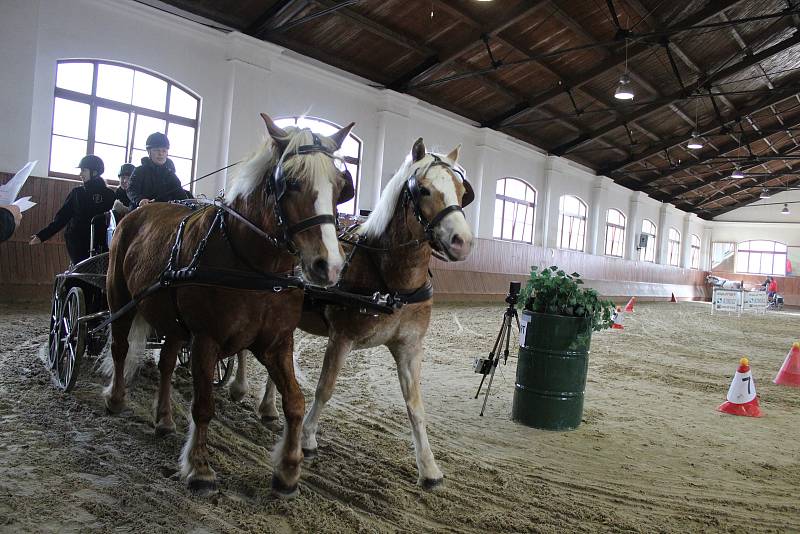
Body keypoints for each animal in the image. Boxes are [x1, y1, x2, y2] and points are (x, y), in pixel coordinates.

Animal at [102, 113, 354, 498]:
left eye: (340, 186)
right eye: (292, 182)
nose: (330, 266)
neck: (255, 267)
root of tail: (138, 212)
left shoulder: (276, 343)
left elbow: (295, 403)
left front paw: (288, 470)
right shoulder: (206, 340)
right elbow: (204, 405)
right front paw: (200, 468)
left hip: (173, 322)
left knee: (166, 364)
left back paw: (164, 420)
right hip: (121, 299)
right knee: (119, 347)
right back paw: (116, 399)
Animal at [233, 138, 476, 490]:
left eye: (461, 190)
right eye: (424, 190)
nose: (462, 242)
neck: (389, 278)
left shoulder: (409, 347)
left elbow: (415, 406)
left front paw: (429, 467)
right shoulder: (341, 338)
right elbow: (325, 388)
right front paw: (307, 438)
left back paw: (268, 407)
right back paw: (238, 386)